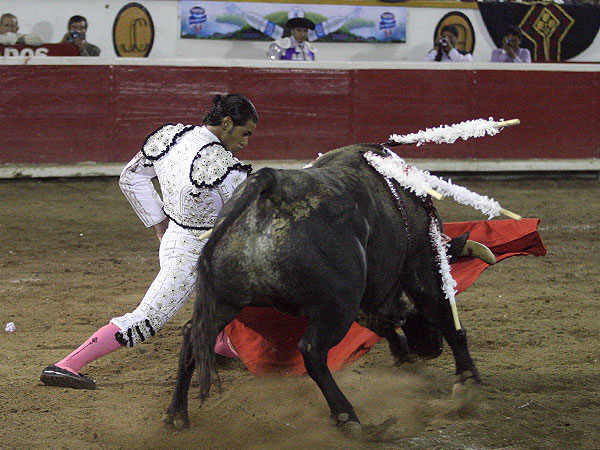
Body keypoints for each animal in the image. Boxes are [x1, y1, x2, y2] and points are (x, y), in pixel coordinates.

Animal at [163, 143, 482, 432]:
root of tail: (269, 184)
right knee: (313, 351)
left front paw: (403, 358)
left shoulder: (365, 299)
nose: (430, 350)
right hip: (337, 306)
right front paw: (467, 380)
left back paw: (176, 414)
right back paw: (347, 416)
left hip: (226, 300)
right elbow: (445, 314)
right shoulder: (421, 268)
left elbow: (382, 323)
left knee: (192, 335)